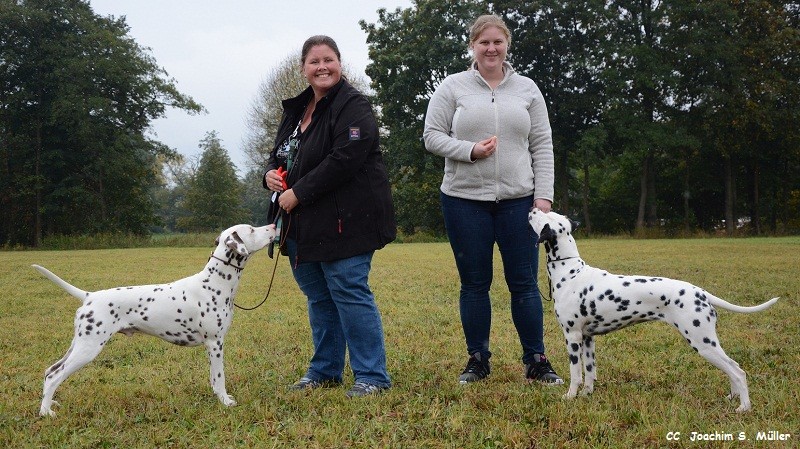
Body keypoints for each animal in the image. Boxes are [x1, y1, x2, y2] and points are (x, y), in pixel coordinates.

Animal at [32, 224, 278, 416]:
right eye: (251, 229)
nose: (274, 226)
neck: (214, 284)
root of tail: (89, 296)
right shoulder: (215, 342)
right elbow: (219, 377)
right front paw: (225, 401)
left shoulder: (212, 346)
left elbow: (212, 378)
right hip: (88, 347)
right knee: (55, 376)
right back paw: (46, 413)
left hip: (79, 343)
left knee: (50, 371)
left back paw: (50, 403)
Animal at [528, 208, 780, 412]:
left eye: (544, 217)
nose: (532, 208)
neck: (570, 272)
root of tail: (701, 293)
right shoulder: (588, 338)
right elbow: (589, 373)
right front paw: (587, 395)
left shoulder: (572, 337)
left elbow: (575, 375)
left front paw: (570, 396)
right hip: (708, 344)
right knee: (732, 370)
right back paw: (733, 397)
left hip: (703, 343)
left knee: (738, 371)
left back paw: (744, 407)